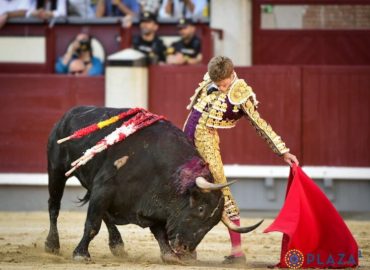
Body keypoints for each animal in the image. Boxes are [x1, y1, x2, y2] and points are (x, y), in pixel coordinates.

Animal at [44, 106, 264, 262]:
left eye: (212, 224)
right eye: (201, 209)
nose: (186, 249)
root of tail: (67, 115)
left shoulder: (152, 202)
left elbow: (159, 232)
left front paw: (170, 255)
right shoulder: (104, 188)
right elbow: (92, 224)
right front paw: (81, 254)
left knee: (104, 215)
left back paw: (117, 245)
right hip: (56, 170)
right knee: (54, 206)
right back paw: (52, 245)